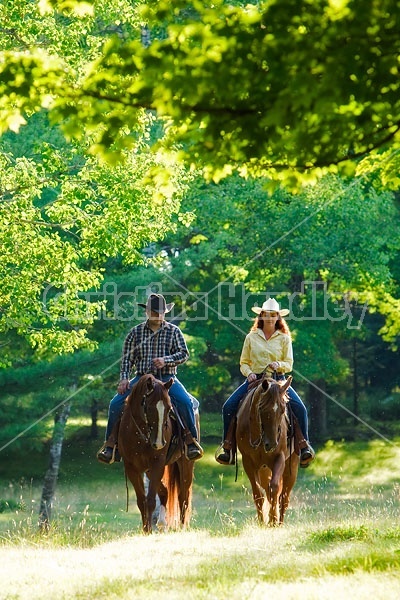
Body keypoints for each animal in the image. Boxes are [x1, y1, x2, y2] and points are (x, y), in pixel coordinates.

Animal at [117, 372, 194, 532]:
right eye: (149, 407)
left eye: (169, 408)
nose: (158, 443)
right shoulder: (132, 468)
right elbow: (142, 501)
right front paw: (146, 530)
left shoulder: (157, 464)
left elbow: (151, 500)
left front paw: (149, 531)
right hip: (149, 471)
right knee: (165, 492)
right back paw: (162, 523)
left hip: (185, 464)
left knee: (183, 496)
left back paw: (182, 527)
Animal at [236, 378, 298, 528]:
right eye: (262, 408)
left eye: (283, 410)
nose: (272, 444)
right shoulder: (248, 462)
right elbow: (258, 493)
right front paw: (262, 521)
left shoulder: (279, 458)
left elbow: (274, 488)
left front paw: (273, 520)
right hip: (264, 470)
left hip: (291, 468)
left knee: (284, 497)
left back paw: (280, 521)